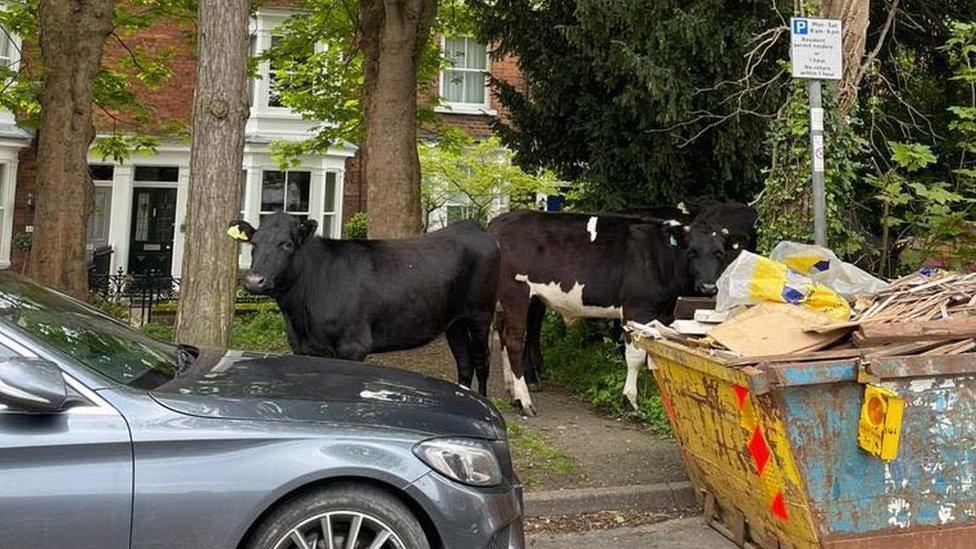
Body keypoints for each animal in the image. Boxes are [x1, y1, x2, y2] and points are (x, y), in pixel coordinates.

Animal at [232, 212, 500, 396]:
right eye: (253, 244)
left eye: (286, 244)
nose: (254, 280)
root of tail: (471, 226)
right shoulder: (301, 347)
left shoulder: (353, 346)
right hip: (454, 322)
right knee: (464, 361)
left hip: (481, 314)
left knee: (481, 361)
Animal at [488, 210, 748, 416]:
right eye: (692, 251)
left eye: (719, 253)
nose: (708, 287)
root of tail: (501, 220)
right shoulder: (637, 308)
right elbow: (635, 357)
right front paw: (630, 400)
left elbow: (653, 355)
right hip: (516, 294)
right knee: (514, 341)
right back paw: (524, 401)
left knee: (504, 337)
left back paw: (512, 391)